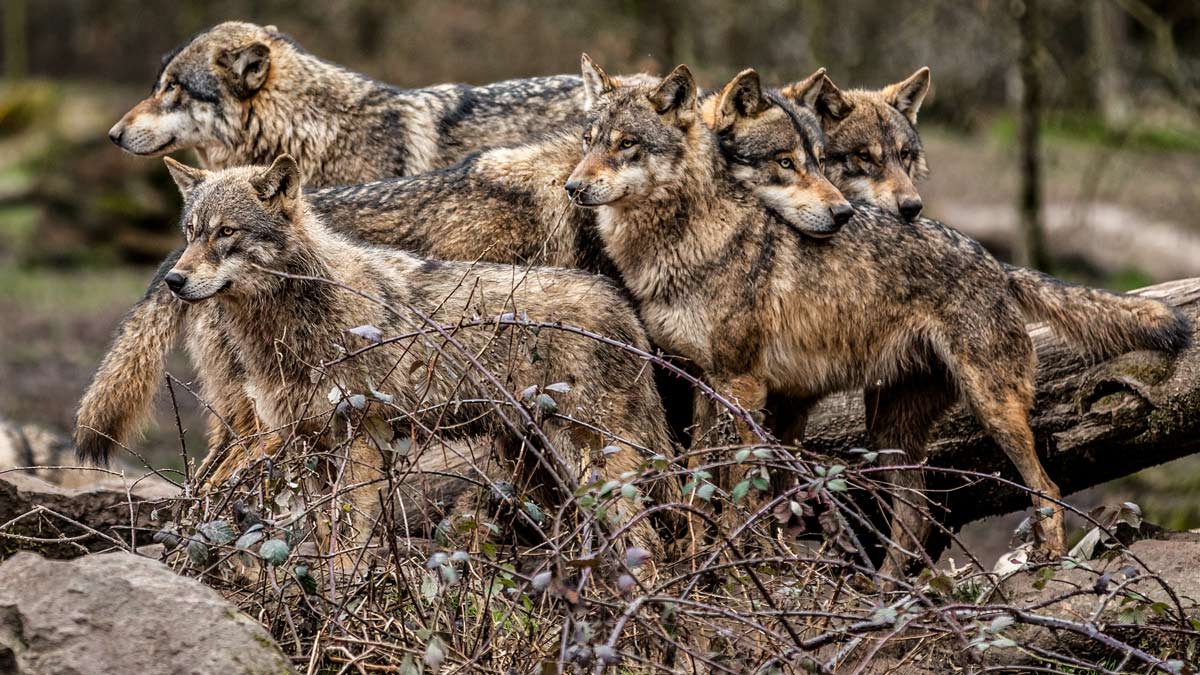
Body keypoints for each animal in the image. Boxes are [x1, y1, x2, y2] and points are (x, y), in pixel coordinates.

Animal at [154, 154, 681, 559]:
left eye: (226, 232)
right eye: (191, 232)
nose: (174, 280)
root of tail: (621, 304)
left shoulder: (362, 441)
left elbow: (348, 541)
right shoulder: (313, 446)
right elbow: (326, 536)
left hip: (590, 467)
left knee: (648, 544)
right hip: (538, 468)